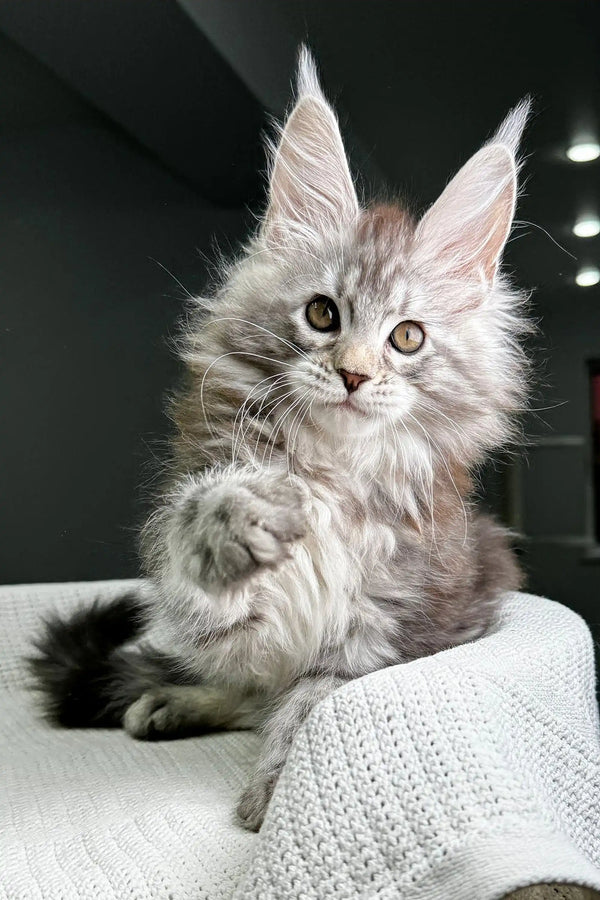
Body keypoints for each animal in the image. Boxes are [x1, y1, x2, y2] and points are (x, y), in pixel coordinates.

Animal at [31, 49, 528, 832]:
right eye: (323, 314)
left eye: (407, 337)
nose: (354, 375)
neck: (335, 470)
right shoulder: (201, 579)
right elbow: (203, 546)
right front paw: (241, 517)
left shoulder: (396, 623)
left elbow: (311, 706)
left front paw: (282, 797)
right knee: (244, 690)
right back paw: (171, 703)